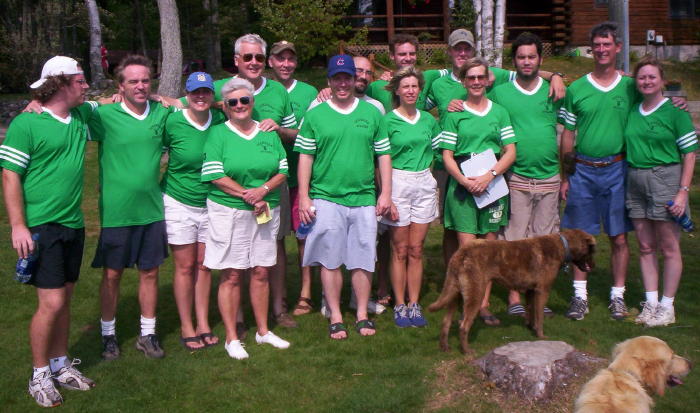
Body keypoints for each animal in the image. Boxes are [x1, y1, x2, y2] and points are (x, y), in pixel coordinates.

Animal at [426, 229, 596, 350]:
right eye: (592, 251)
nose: (593, 267)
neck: (562, 245)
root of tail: (461, 253)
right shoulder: (542, 290)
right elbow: (540, 316)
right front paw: (541, 336)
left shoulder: (530, 291)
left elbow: (531, 311)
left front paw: (530, 327)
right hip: (476, 293)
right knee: (463, 326)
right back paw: (467, 351)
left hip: (455, 293)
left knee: (445, 322)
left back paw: (445, 347)